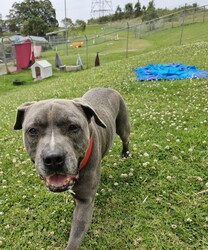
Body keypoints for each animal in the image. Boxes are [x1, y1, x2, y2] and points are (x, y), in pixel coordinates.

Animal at [13, 87, 130, 249]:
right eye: (32, 130)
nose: (53, 158)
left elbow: (75, 237)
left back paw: (125, 153)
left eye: (73, 127)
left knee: (125, 138)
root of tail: (107, 88)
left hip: (123, 126)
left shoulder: (85, 202)